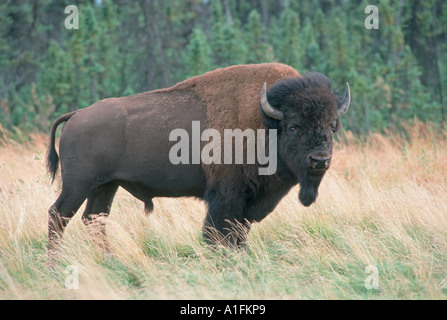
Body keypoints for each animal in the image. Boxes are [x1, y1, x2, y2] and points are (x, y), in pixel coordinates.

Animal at [47, 62, 352, 252]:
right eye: (293, 126)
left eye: (331, 126)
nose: (319, 160)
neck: (265, 123)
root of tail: (77, 114)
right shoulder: (226, 197)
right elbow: (219, 233)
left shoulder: (248, 203)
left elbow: (239, 234)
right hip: (78, 185)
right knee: (58, 216)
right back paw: (54, 264)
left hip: (105, 187)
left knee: (94, 220)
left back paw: (108, 259)